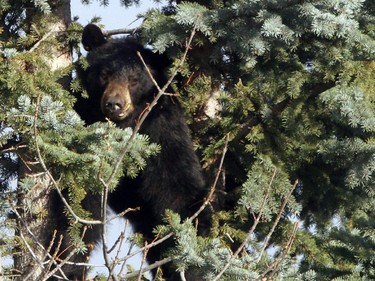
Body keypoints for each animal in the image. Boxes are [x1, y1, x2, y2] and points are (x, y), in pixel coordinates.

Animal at [57, 24, 210, 280]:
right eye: (105, 74)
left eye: (134, 79)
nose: (114, 104)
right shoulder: (82, 123)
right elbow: (78, 200)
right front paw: (69, 260)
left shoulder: (161, 130)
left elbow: (176, 192)